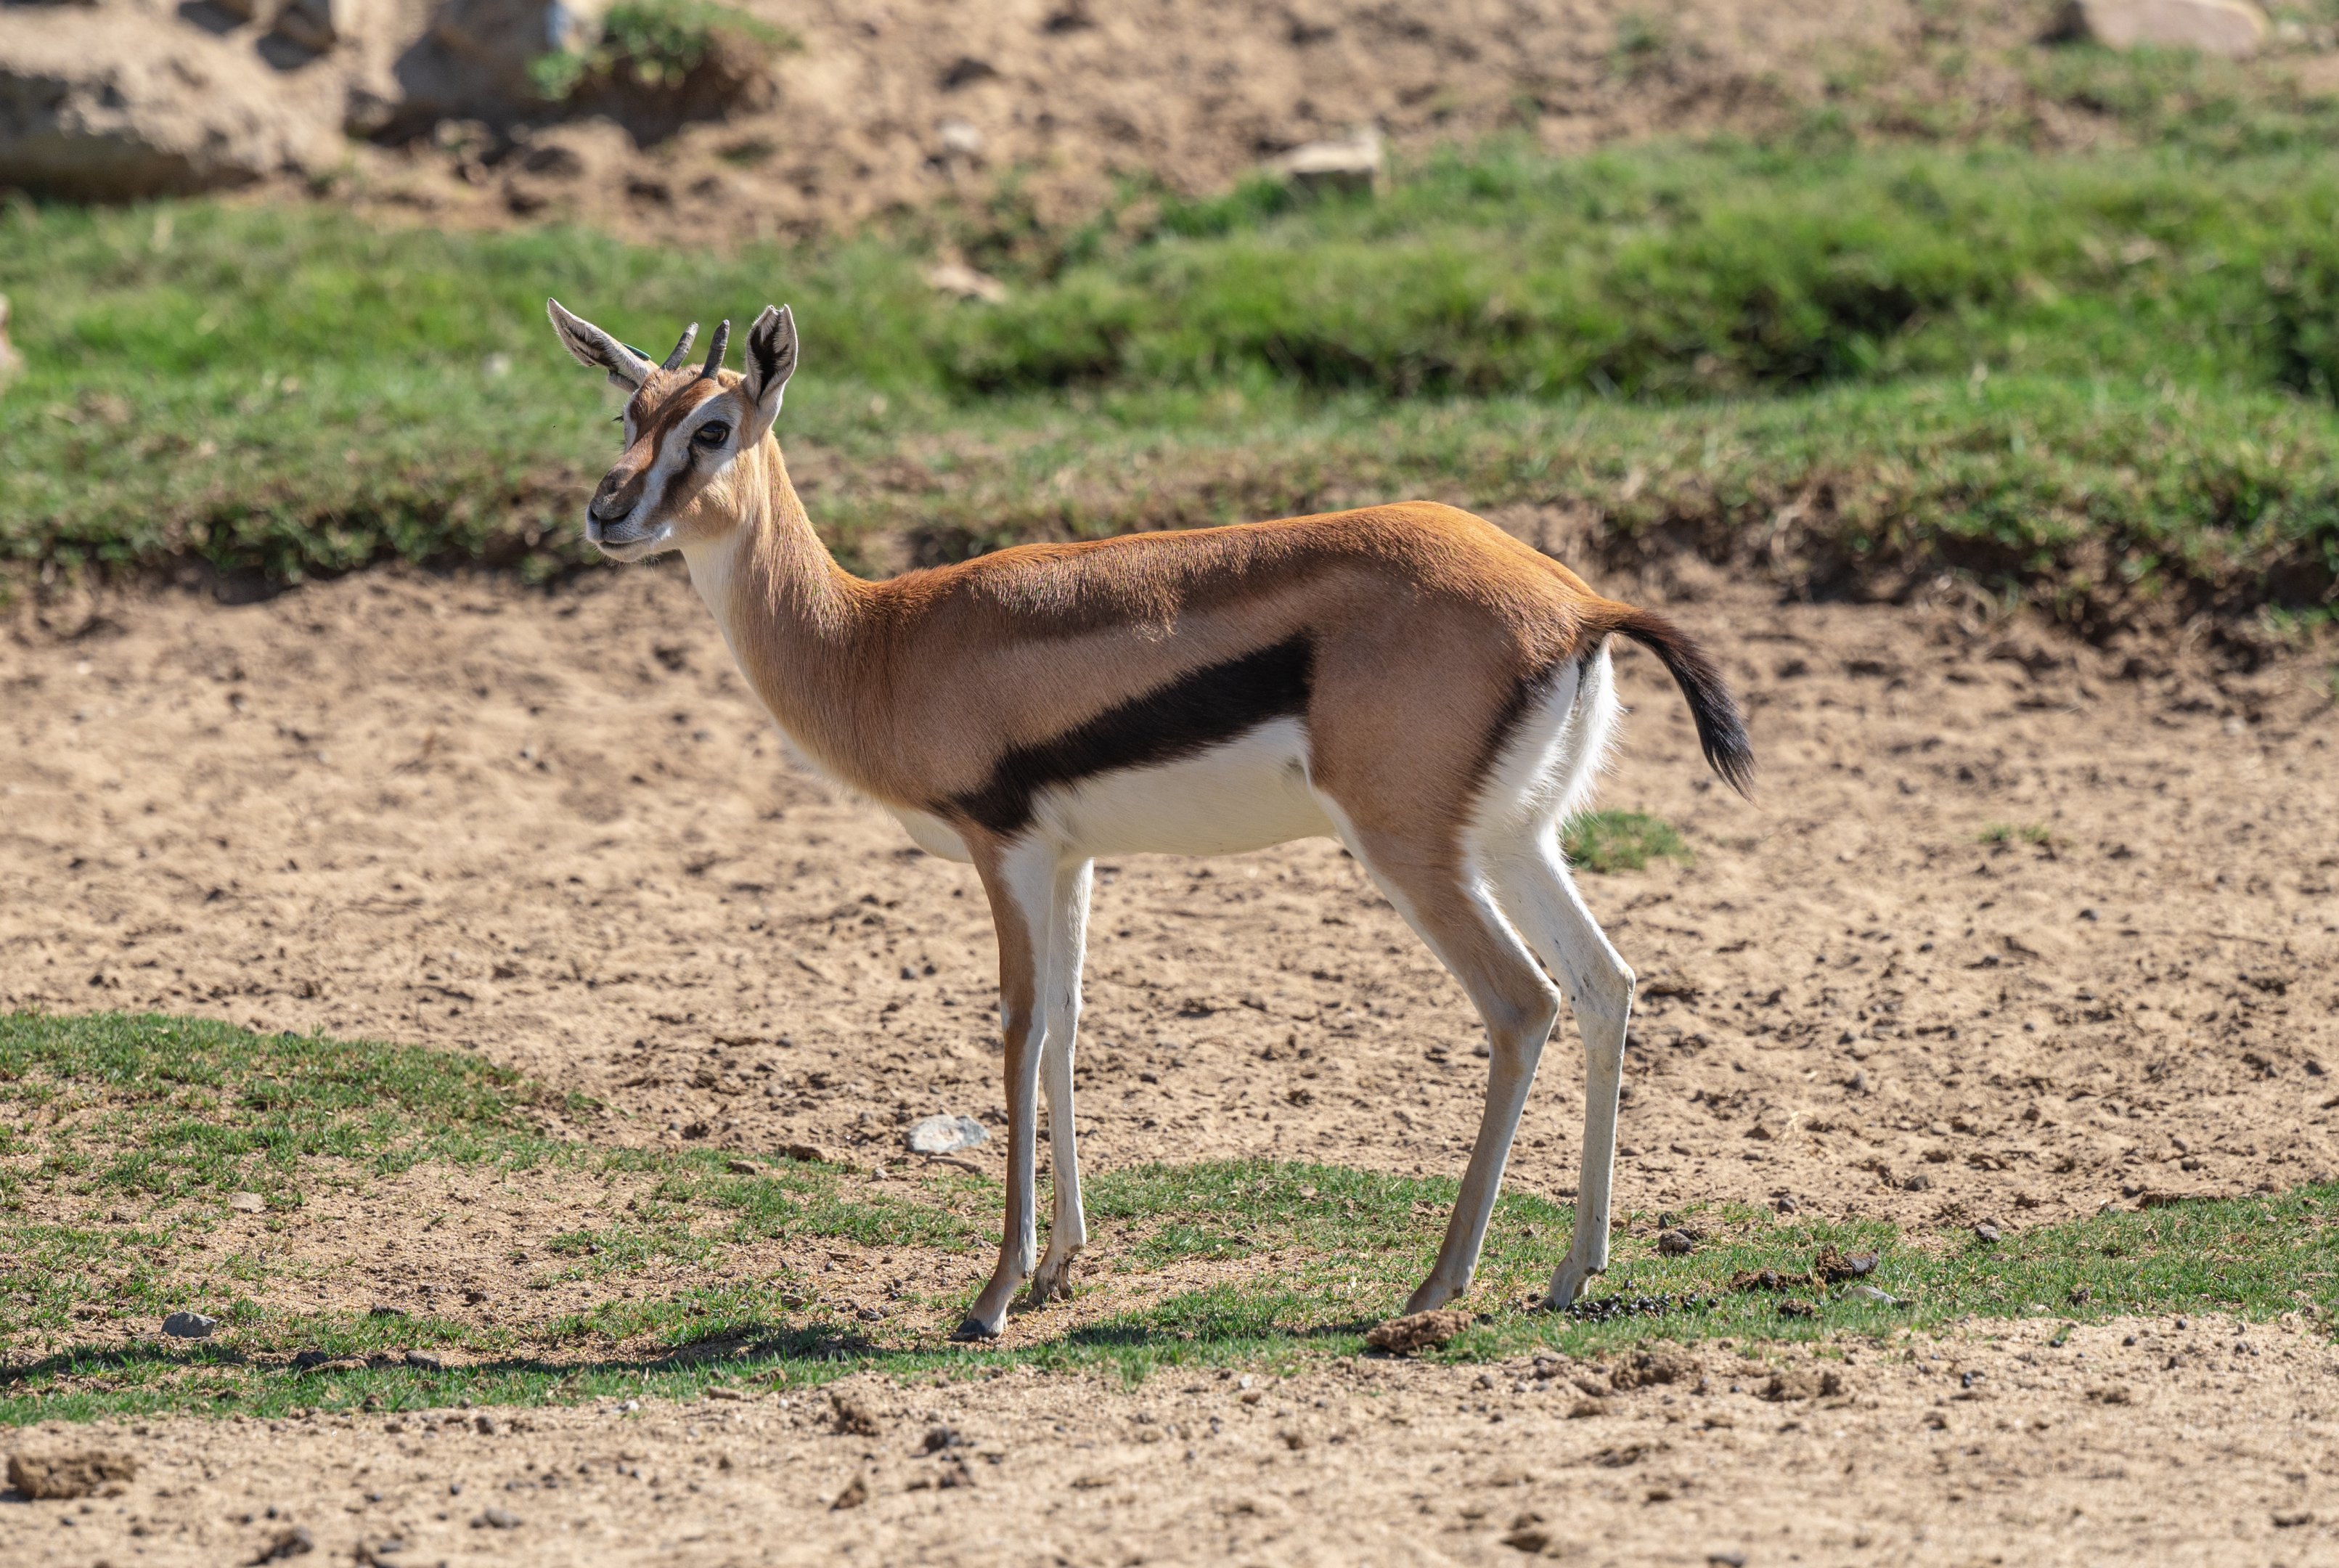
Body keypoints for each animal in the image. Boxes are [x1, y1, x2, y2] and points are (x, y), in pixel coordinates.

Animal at [545, 299, 1754, 1339]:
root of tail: (1578, 603)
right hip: (1511, 841)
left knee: (1521, 1003)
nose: (607, 513)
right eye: (627, 415)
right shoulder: (1069, 860)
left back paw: (1435, 1284)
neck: (878, 639)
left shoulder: (1004, 851)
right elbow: (1069, 1027)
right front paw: (1057, 1269)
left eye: (712, 428)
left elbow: (1017, 1031)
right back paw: (1572, 1271)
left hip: (1412, 856)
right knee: (1605, 986)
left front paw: (991, 1295)